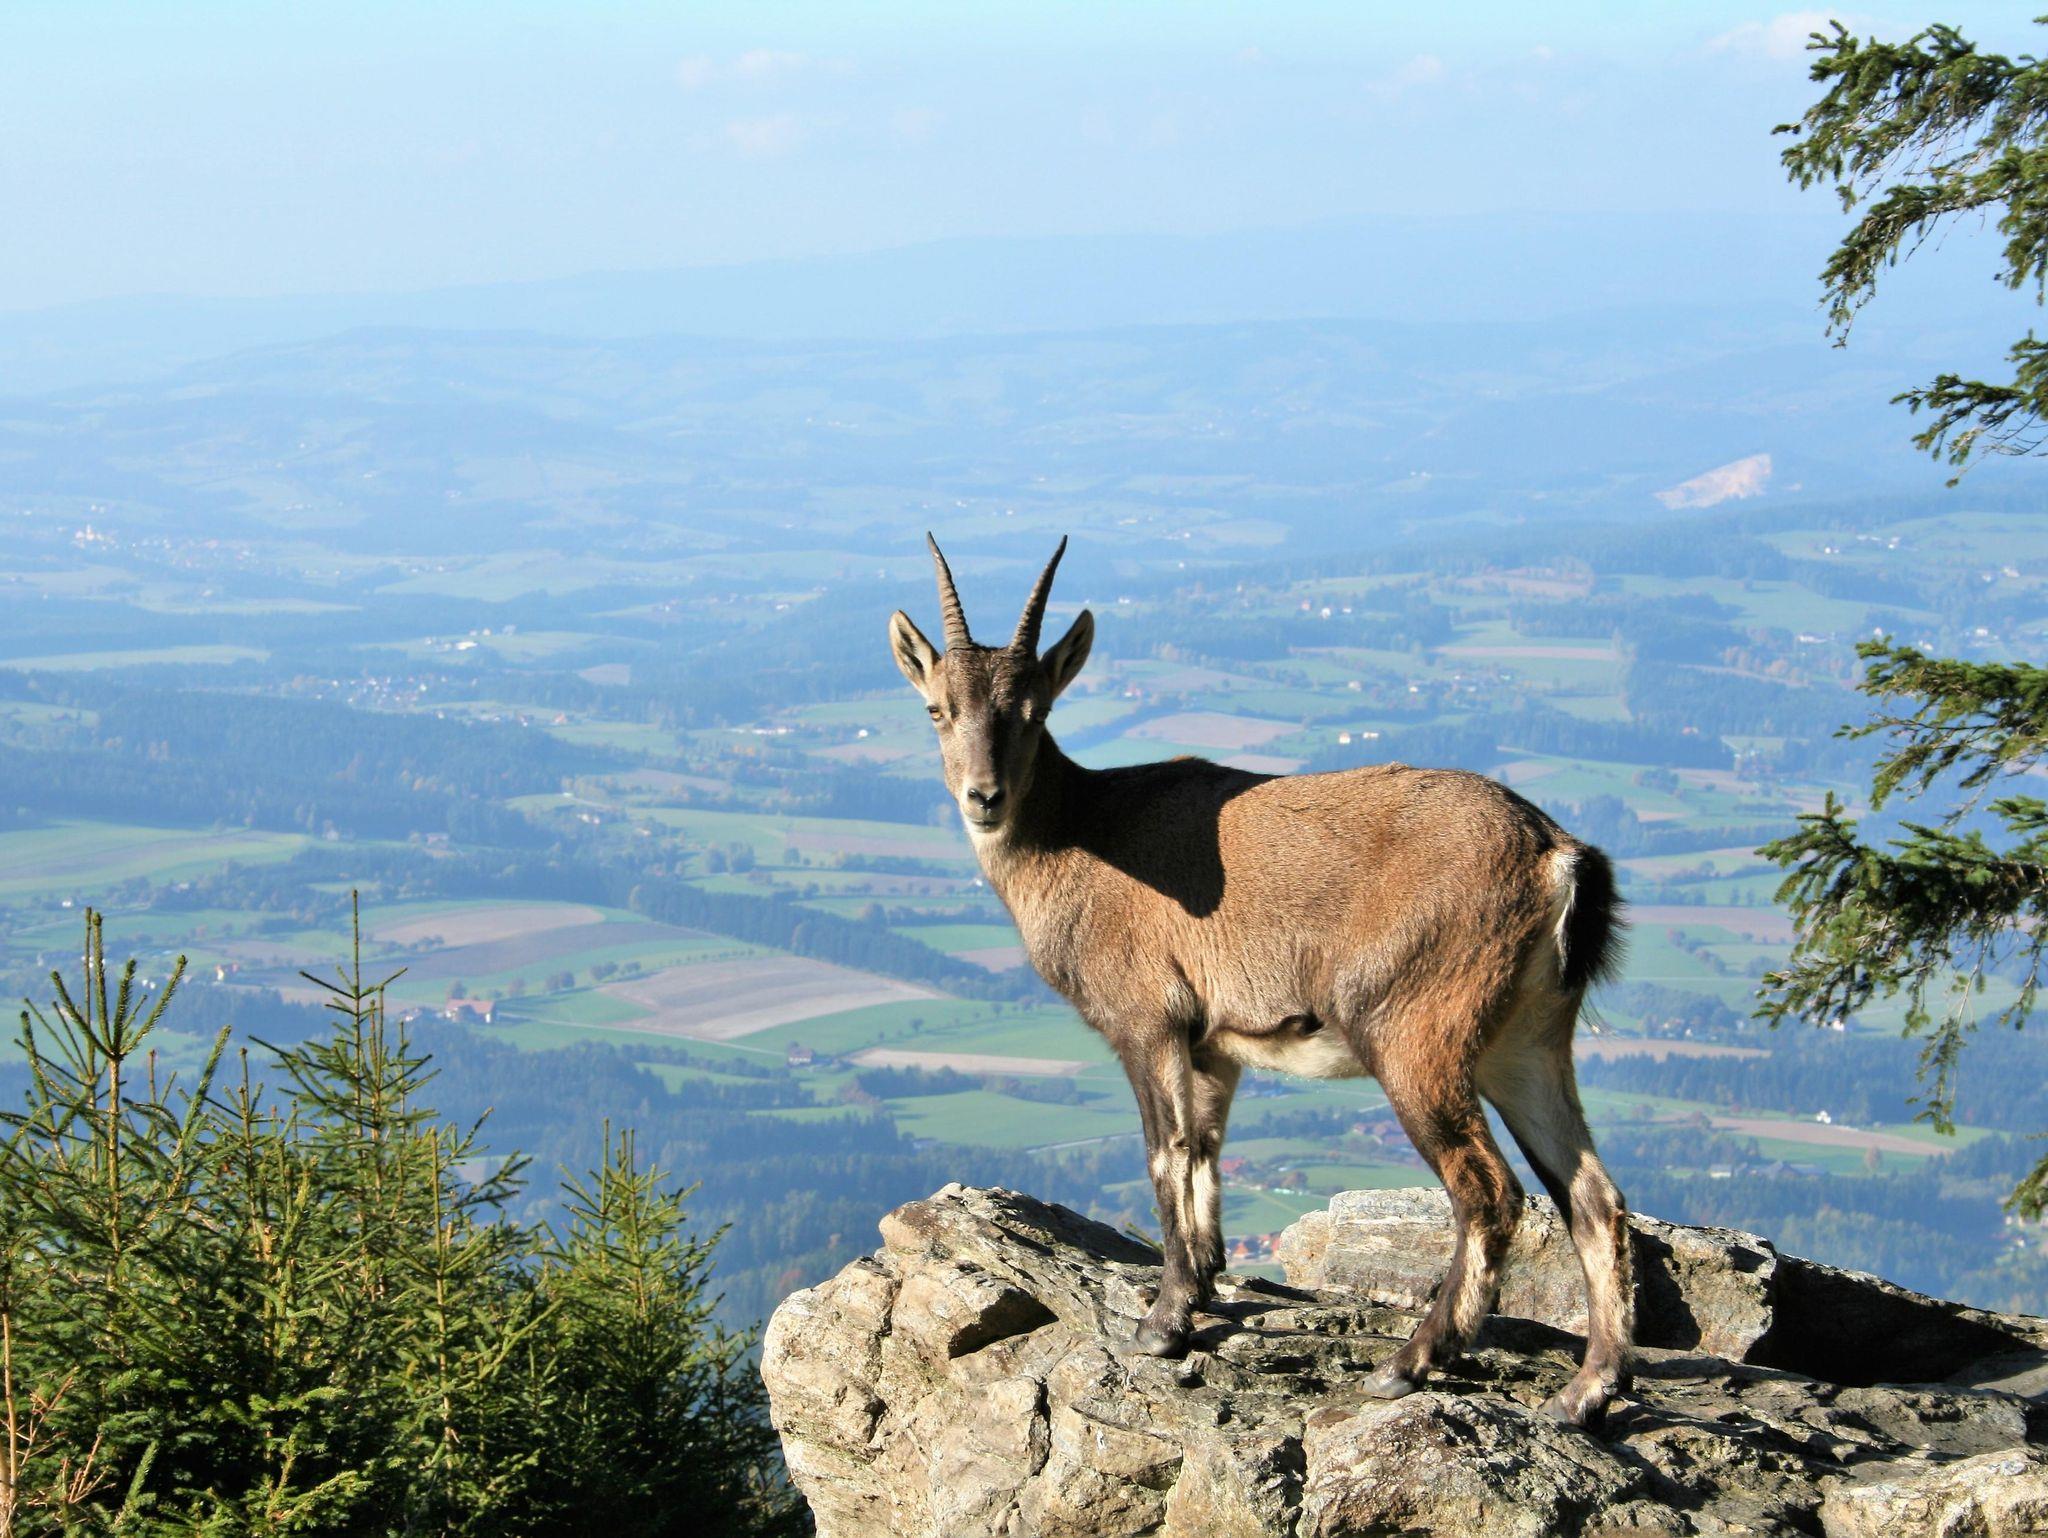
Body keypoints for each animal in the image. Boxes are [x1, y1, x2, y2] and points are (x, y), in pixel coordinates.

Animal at [886, 535, 1635, 1429]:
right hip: (1526, 1043)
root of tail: (1558, 855)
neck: (1079, 837)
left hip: (1416, 1034)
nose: (984, 797)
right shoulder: (1214, 1043)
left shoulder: (1147, 1022)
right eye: (937, 711)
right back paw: (1587, 1392)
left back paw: (1411, 1364)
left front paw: (1163, 1323)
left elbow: (1165, 1154)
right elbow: (1207, 1153)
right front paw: (1204, 1291)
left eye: (1034, 712)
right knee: (1593, 1196)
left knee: (1489, 1192)